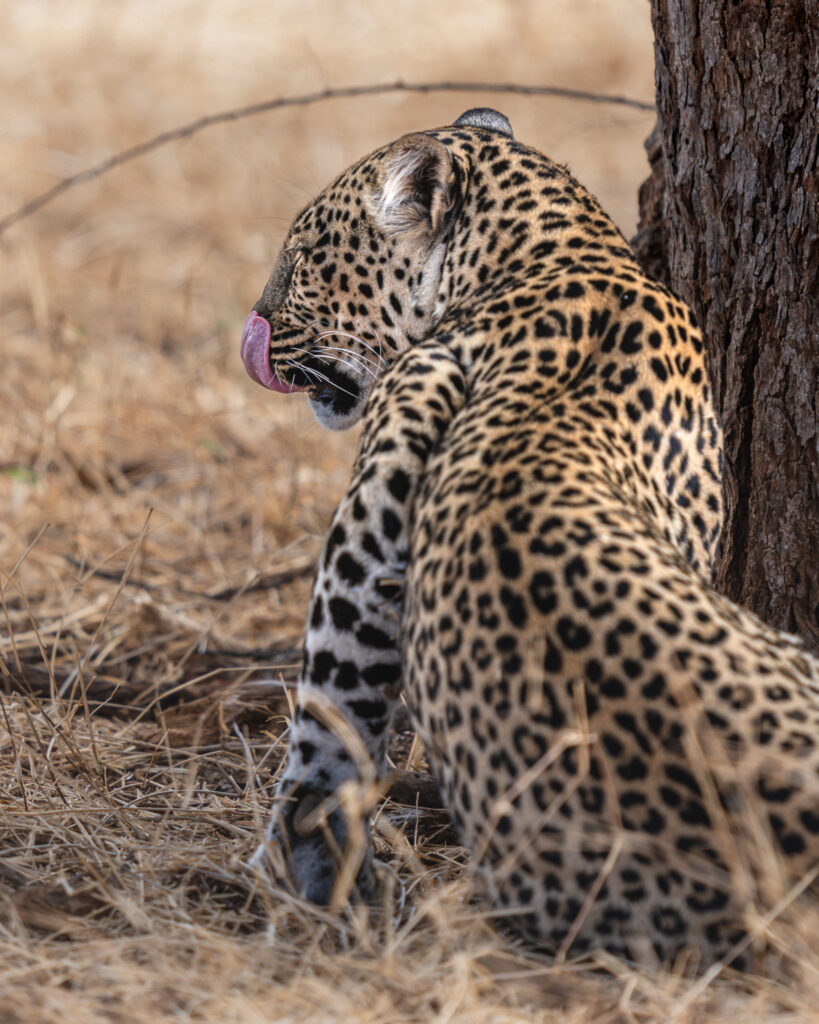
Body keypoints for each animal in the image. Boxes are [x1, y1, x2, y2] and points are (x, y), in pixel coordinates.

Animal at [241, 108, 819, 970]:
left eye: (307, 256)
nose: (259, 326)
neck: (556, 250)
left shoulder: (395, 448)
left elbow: (332, 706)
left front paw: (310, 872)